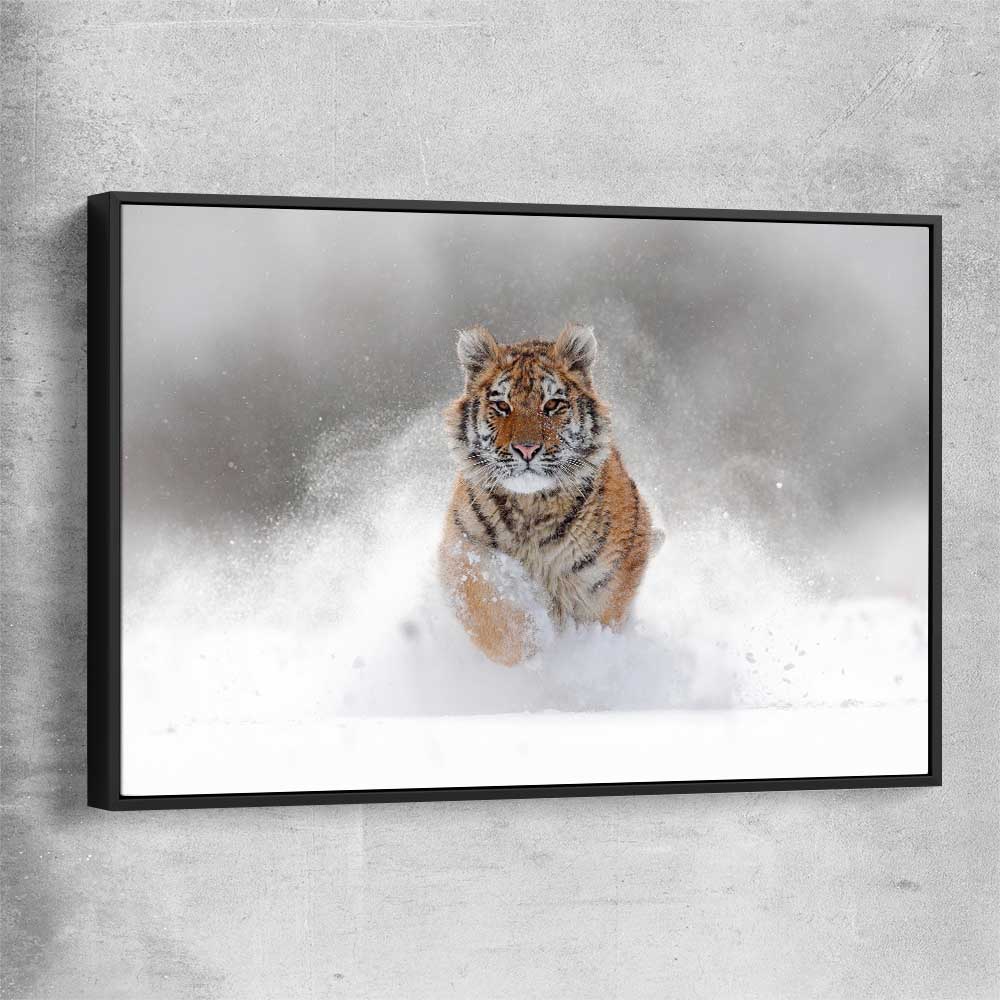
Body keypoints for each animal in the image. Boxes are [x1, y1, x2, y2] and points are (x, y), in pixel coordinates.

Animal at [439, 322, 661, 666]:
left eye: (552, 405)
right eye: (502, 406)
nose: (526, 449)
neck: (531, 507)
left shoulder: (607, 578)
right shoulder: (463, 550)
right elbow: (493, 613)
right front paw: (528, 650)